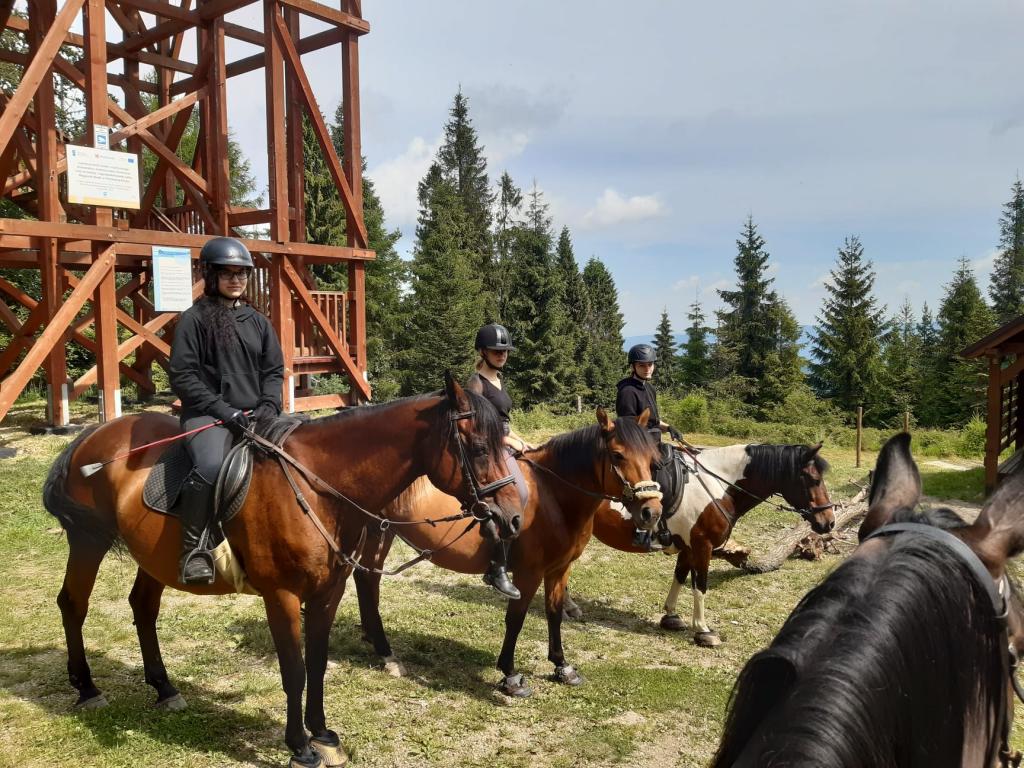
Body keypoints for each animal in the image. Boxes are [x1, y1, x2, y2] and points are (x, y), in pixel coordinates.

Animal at [39, 376, 520, 768]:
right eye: (480, 449)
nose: (513, 518)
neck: (318, 487)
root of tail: (94, 435)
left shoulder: (328, 592)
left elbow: (318, 663)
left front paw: (322, 733)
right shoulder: (282, 596)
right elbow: (294, 669)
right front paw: (300, 746)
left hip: (152, 556)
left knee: (142, 607)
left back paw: (164, 688)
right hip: (89, 540)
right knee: (73, 604)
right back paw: (87, 688)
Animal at [348, 409, 663, 696]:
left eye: (652, 459)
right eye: (618, 455)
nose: (652, 512)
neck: (553, 496)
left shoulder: (559, 569)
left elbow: (554, 614)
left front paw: (562, 666)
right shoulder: (528, 573)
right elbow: (516, 618)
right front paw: (510, 675)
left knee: (367, 579)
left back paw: (373, 639)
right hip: (378, 531)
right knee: (366, 579)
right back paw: (386, 652)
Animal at [565, 442, 835, 647]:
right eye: (812, 478)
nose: (829, 522)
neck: (719, 486)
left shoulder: (687, 547)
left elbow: (679, 576)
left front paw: (671, 616)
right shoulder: (702, 546)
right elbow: (700, 586)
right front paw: (703, 630)